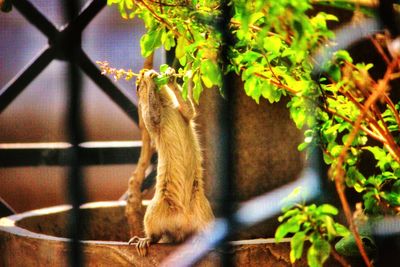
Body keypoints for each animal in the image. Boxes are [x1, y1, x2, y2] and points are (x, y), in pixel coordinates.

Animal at [130, 68, 214, 256]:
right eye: (137, 86)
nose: (144, 71)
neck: (167, 108)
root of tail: (180, 226)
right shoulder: (151, 120)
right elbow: (152, 116)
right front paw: (151, 80)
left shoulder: (182, 112)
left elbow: (188, 109)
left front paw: (168, 76)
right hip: (153, 212)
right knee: (155, 235)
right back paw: (143, 241)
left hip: (205, 214)